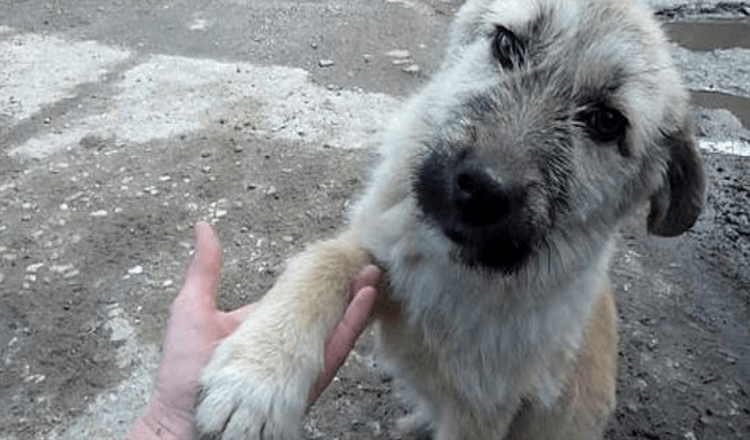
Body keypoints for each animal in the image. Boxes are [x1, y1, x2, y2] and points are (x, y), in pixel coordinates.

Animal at [191, 1, 708, 438]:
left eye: (606, 122)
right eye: (507, 45)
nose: (481, 188)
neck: (456, 271)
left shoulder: (482, 413)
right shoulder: (382, 254)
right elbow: (322, 262)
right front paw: (257, 377)